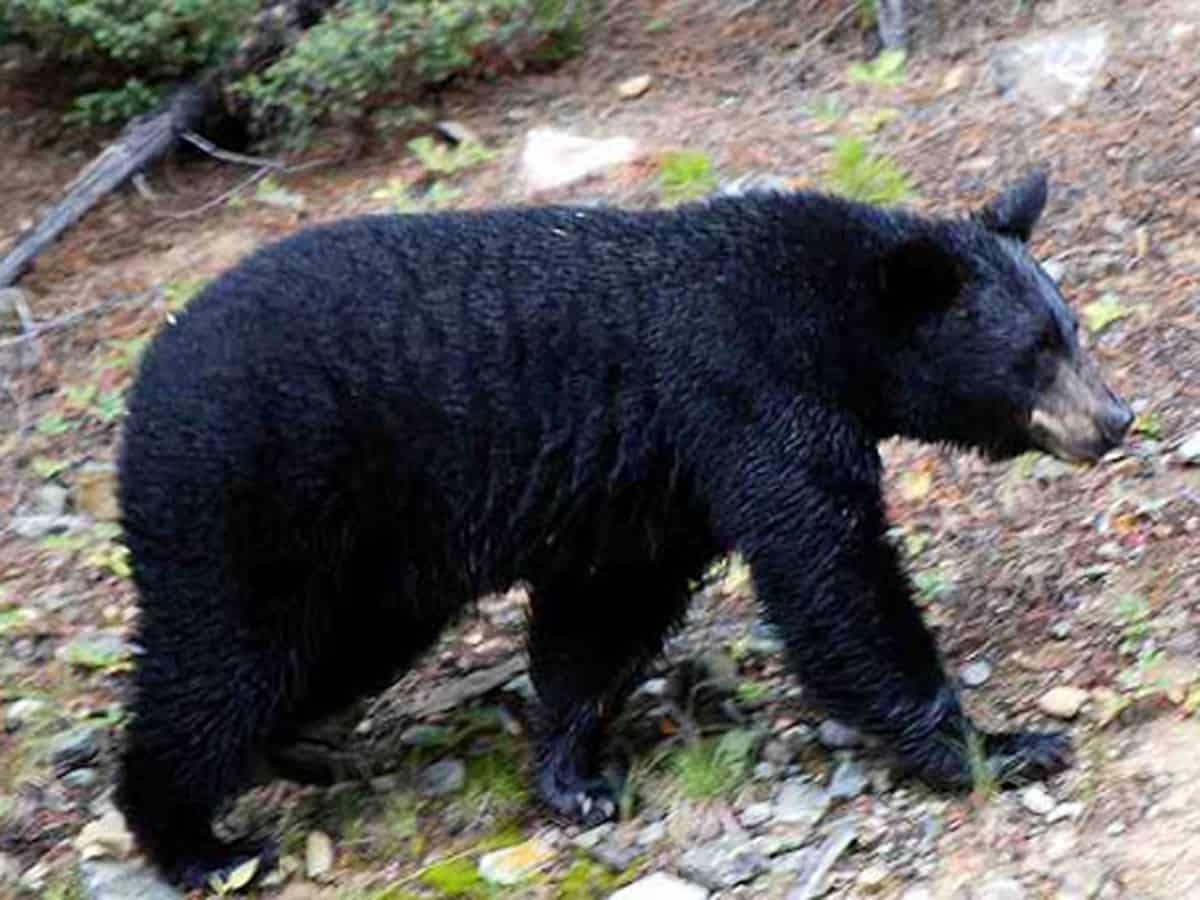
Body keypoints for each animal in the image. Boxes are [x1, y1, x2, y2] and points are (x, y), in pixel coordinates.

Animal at [117, 170, 1128, 888]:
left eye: (1070, 327)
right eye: (1034, 352)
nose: (1116, 418)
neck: (828, 324)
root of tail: (149, 373)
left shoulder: (659, 486)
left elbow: (604, 618)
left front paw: (574, 776)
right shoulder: (750, 400)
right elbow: (835, 580)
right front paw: (1001, 745)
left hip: (371, 558)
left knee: (333, 649)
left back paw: (302, 748)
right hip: (250, 496)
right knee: (221, 664)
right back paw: (197, 844)